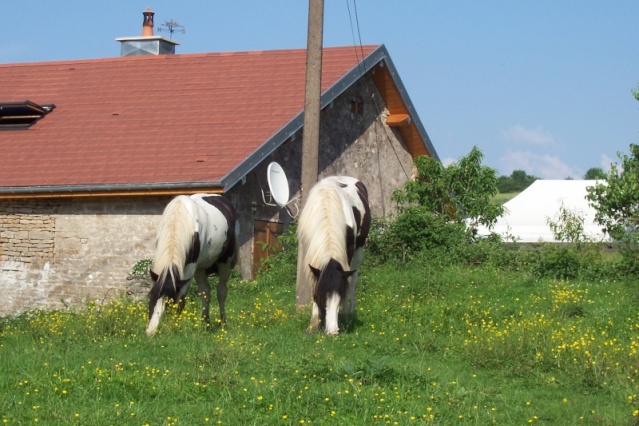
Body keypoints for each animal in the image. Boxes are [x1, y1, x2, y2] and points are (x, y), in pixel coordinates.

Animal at [145, 193, 240, 336]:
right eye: (151, 299)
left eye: (169, 304)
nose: (150, 333)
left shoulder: (188, 270)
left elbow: (181, 300)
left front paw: (175, 328)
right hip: (200, 268)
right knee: (206, 292)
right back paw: (206, 324)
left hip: (225, 262)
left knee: (221, 291)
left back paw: (223, 323)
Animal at [298, 176, 372, 332]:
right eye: (322, 296)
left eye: (340, 296)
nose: (332, 331)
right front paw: (314, 323)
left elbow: (347, 281)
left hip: (359, 249)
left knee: (353, 280)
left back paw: (348, 313)